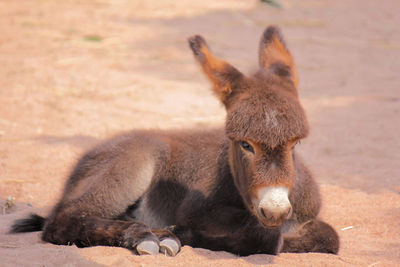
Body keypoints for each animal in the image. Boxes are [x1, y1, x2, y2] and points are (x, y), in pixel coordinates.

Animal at [10, 26, 340, 256]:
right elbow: (267, 236)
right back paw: (147, 236)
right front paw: (181, 235)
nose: (275, 210)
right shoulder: (197, 211)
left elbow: (329, 237)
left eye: (295, 144)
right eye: (244, 144)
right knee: (62, 221)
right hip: (133, 164)